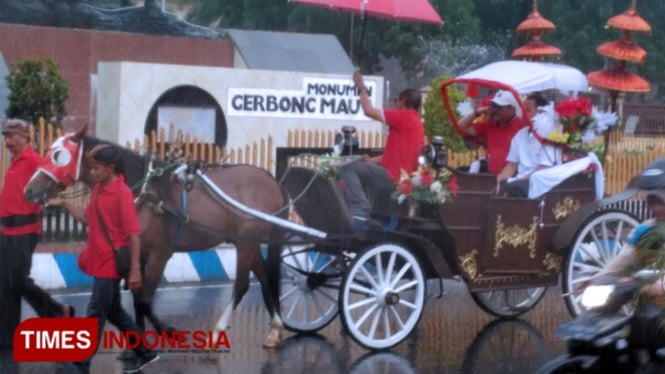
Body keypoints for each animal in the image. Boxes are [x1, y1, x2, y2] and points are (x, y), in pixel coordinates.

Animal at [22, 125, 288, 348]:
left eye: (58, 155)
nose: (30, 190)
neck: (144, 193)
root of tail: (271, 181)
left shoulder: (160, 254)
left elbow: (144, 301)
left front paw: (168, 331)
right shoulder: (137, 254)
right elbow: (138, 299)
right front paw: (139, 339)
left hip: (245, 243)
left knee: (242, 285)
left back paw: (217, 331)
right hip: (249, 243)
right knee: (265, 278)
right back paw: (275, 329)